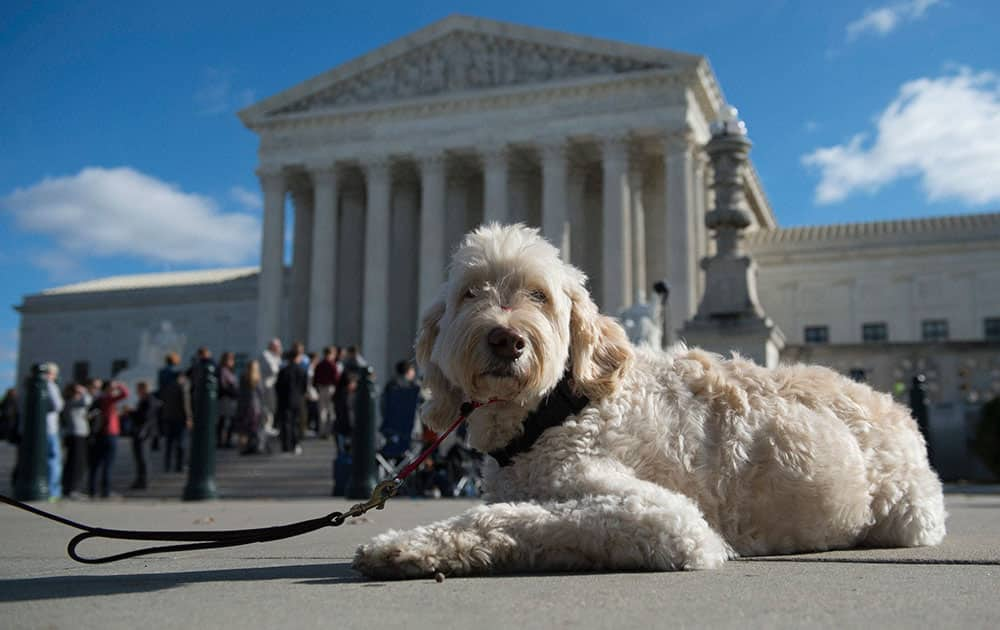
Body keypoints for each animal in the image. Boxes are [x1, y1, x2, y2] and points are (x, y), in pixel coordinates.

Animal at [354, 225, 944, 580]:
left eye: (539, 295)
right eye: (471, 293)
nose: (506, 339)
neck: (555, 409)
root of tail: (897, 408)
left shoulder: (669, 521)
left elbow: (523, 519)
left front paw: (402, 546)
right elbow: (512, 511)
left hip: (911, 518)